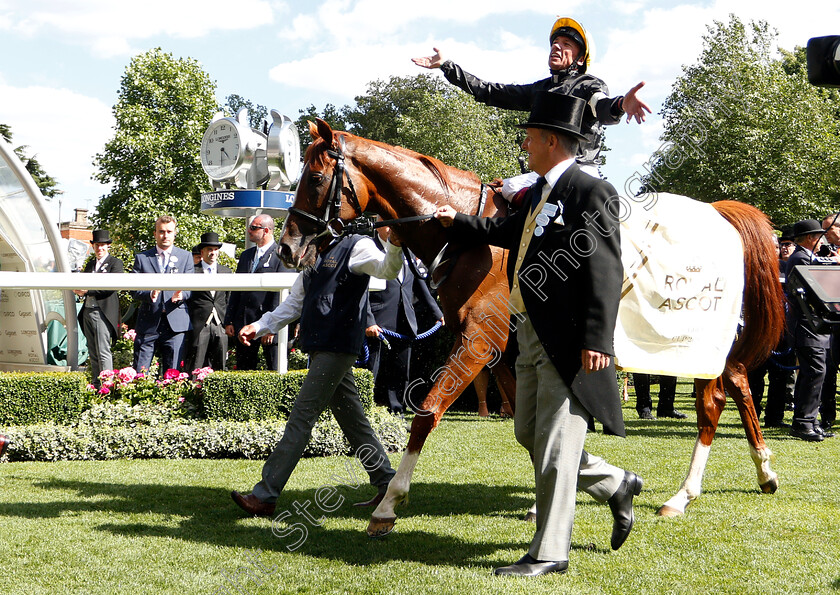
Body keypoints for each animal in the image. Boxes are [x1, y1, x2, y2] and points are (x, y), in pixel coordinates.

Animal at [278, 120, 784, 536]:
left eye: (315, 179)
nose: (287, 247)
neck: (473, 238)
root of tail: (720, 215)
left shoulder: (477, 343)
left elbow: (428, 412)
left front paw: (388, 504)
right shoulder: (506, 351)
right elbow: (532, 426)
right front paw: (554, 495)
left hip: (693, 346)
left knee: (712, 404)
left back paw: (684, 494)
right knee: (740, 386)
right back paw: (764, 472)